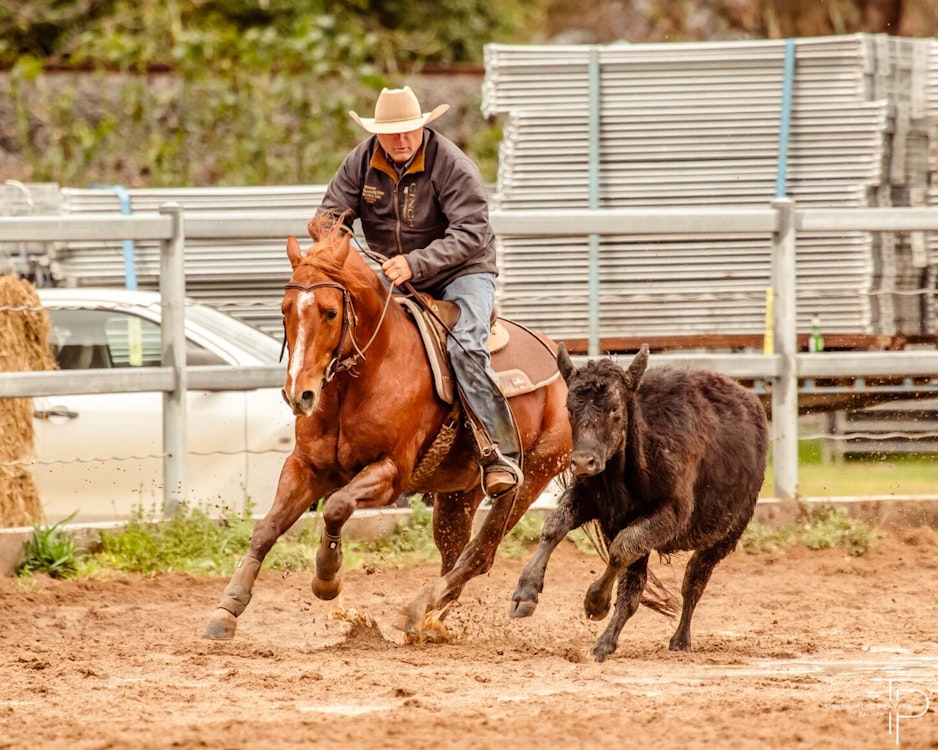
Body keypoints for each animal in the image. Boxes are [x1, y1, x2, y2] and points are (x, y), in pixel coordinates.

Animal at [203, 216, 572, 640]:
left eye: (330, 312)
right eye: (284, 310)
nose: (300, 394)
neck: (363, 379)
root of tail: (564, 363)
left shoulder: (391, 474)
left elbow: (336, 507)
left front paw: (327, 577)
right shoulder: (306, 466)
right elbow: (267, 528)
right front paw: (227, 608)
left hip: (531, 478)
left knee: (480, 553)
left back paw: (415, 610)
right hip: (458, 496)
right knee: (455, 554)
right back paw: (431, 621)